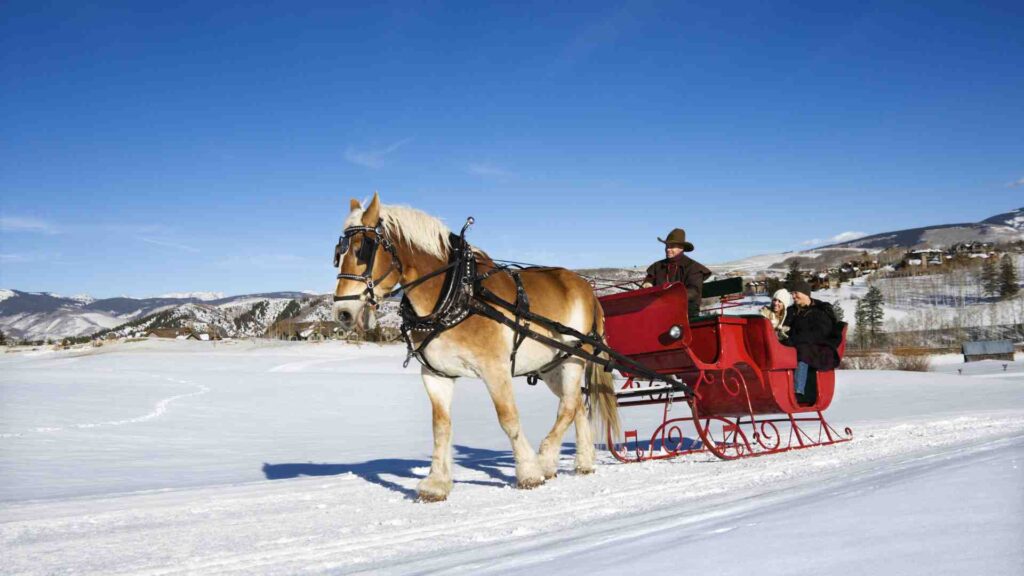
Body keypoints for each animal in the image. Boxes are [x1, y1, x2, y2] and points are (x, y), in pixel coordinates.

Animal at [331, 191, 618, 498]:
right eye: (338, 254)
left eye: (362, 249)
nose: (343, 312)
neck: (457, 292)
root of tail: (587, 289)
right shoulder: (435, 374)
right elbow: (440, 426)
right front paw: (436, 483)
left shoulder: (495, 369)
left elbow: (508, 418)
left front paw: (529, 472)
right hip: (551, 366)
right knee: (576, 405)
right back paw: (583, 462)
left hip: (575, 358)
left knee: (568, 406)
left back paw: (545, 459)